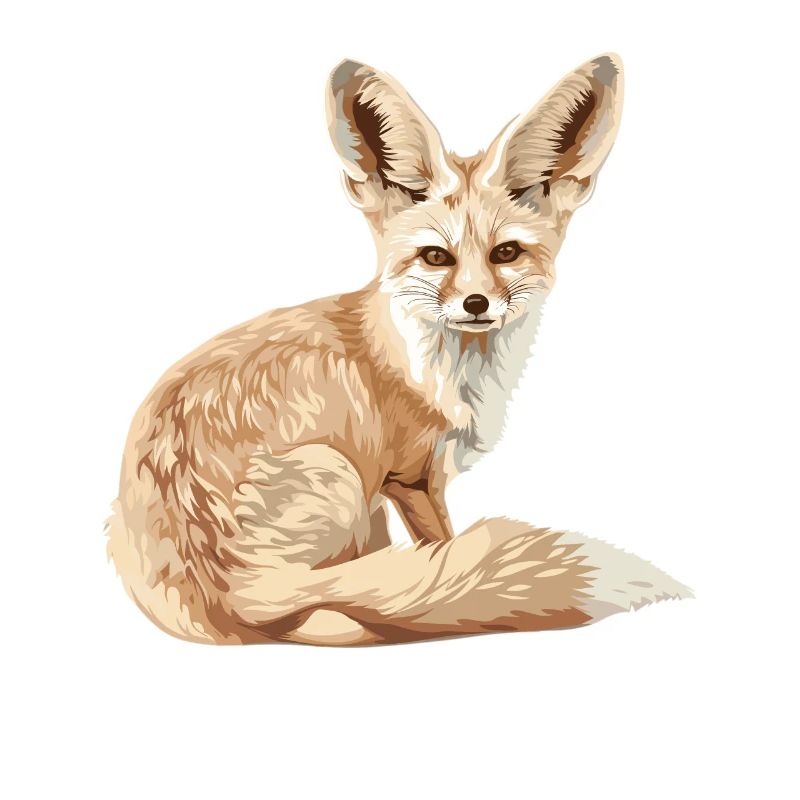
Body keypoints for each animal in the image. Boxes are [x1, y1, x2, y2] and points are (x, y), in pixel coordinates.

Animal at [106, 53, 691, 645]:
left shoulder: (393, 492)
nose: (476, 303)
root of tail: (218, 595)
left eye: (506, 253)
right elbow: (440, 555)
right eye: (436, 256)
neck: (433, 369)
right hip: (338, 477)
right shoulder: (409, 478)